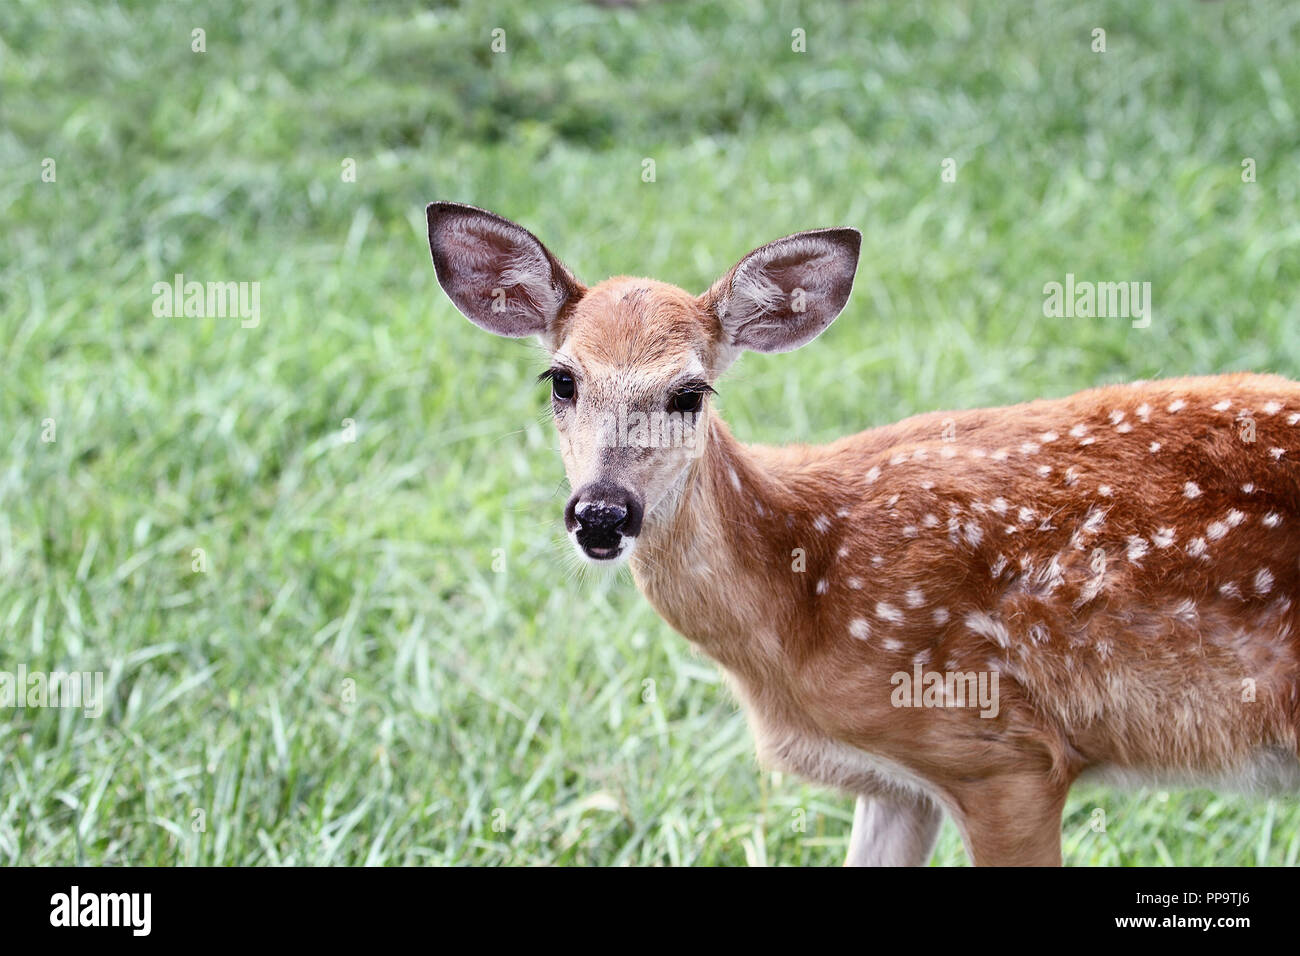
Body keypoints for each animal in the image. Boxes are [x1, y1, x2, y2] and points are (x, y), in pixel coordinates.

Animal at [428, 201, 1300, 868]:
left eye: (689, 392)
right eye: (561, 380)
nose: (602, 513)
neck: (802, 601)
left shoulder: (1003, 754)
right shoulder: (899, 786)